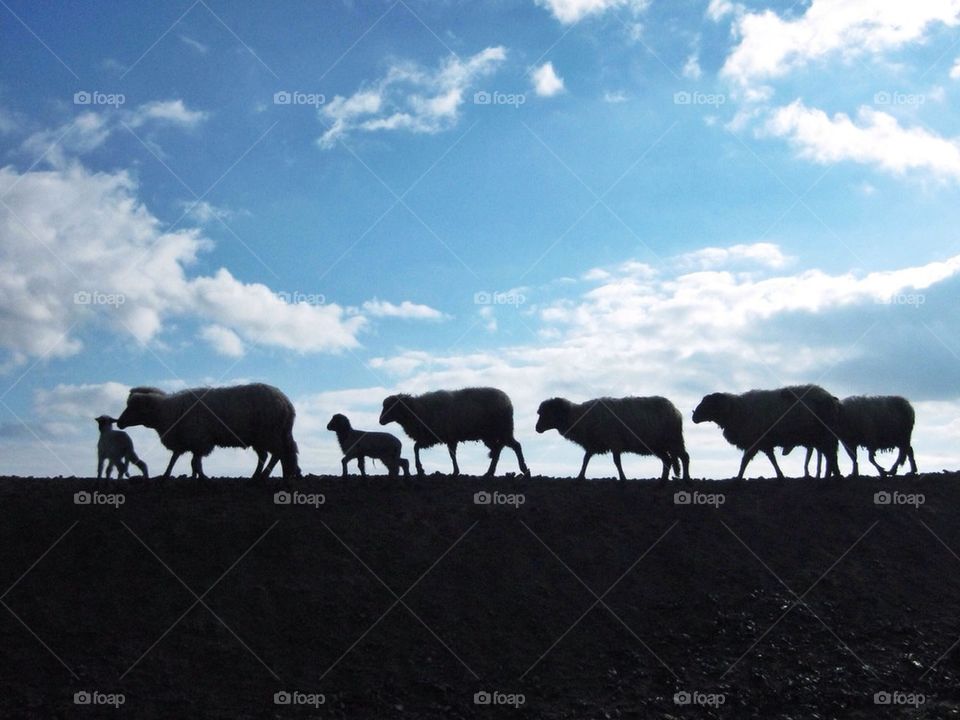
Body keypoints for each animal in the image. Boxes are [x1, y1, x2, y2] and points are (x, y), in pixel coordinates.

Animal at [119, 382, 300, 478]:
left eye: (133, 408)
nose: (119, 423)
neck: (168, 411)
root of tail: (286, 403)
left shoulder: (199, 440)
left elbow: (194, 462)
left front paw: (202, 478)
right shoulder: (186, 441)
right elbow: (177, 460)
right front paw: (168, 476)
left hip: (269, 434)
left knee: (278, 454)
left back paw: (266, 476)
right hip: (261, 437)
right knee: (268, 455)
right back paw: (257, 477)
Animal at [380, 388, 532, 478]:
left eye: (391, 407)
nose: (380, 420)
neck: (417, 410)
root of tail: (507, 400)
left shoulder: (441, 436)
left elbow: (448, 454)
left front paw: (422, 469)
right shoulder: (436, 437)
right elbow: (418, 448)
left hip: (502, 430)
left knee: (514, 446)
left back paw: (524, 469)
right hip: (491, 434)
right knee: (499, 449)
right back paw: (489, 472)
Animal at [532, 394, 688, 484]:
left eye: (547, 412)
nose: (537, 428)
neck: (578, 417)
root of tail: (675, 410)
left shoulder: (614, 442)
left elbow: (616, 462)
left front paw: (623, 478)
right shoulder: (593, 444)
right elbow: (585, 459)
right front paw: (580, 476)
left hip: (674, 440)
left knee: (684, 457)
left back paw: (685, 478)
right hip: (658, 445)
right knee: (667, 460)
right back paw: (662, 481)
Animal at [688, 386, 840, 480]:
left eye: (709, 403)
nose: (694, 418)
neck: (737, 410)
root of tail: (829, 397)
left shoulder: (754, 441)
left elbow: (744, 461)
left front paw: (738, 477)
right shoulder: (764, 442)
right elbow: (772, 459)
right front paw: (780, 475)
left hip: (825, 435)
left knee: (831, 455)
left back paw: (832, 476)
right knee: (829, 456)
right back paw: (831, 475)